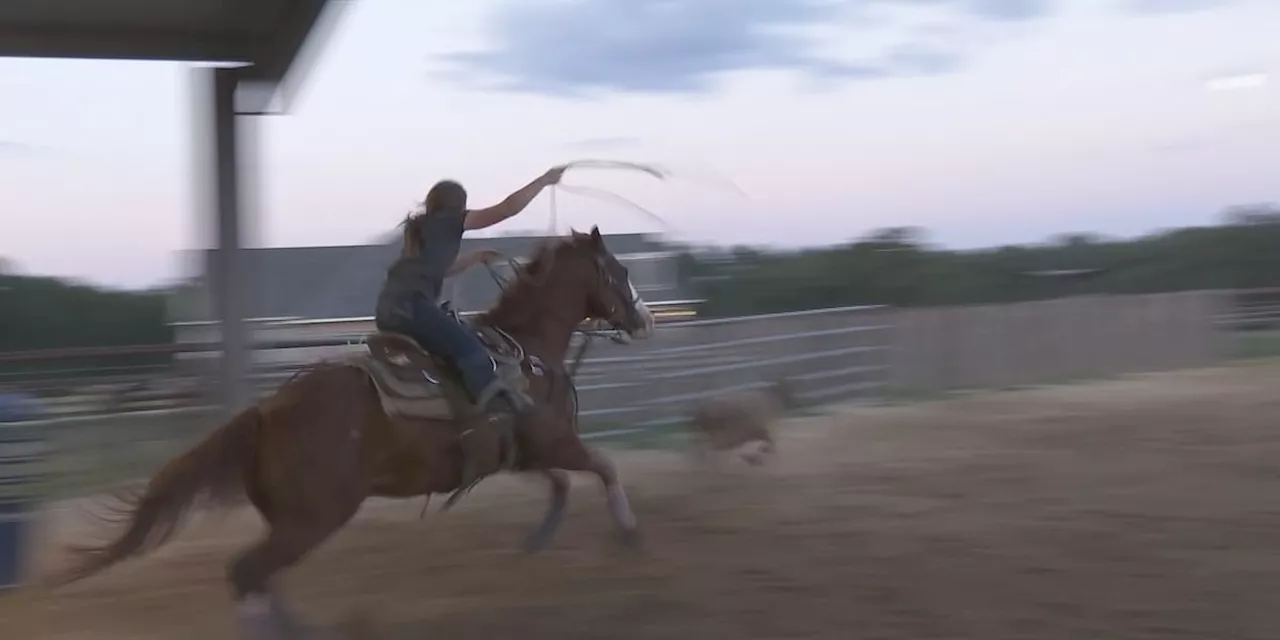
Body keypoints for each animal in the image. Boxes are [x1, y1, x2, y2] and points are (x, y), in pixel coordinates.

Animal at [51, 227, 655, 637]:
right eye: (620, 271)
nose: (644, 319)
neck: (526, 352)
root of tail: (265, 413)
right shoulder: (554, 442)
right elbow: (603, 467)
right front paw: (628, 532)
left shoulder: (517, 453)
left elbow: (559, 481)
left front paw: (540, 536)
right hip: (315, 518)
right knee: (246, 573)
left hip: (291, 520)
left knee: (261, 577)